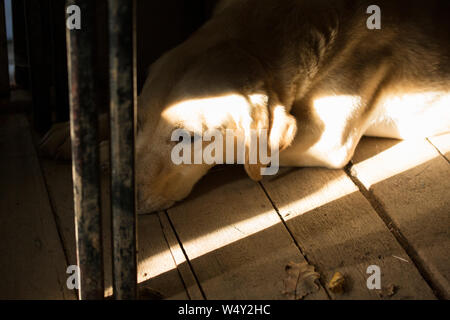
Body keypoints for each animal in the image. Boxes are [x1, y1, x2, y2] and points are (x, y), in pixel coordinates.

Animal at [40, 0, 448, 215]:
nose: (120, 200)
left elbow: (248, 154)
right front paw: (73, 133)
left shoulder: (328, 141)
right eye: (137, 122)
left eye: (187, 139)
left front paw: (103, 153)